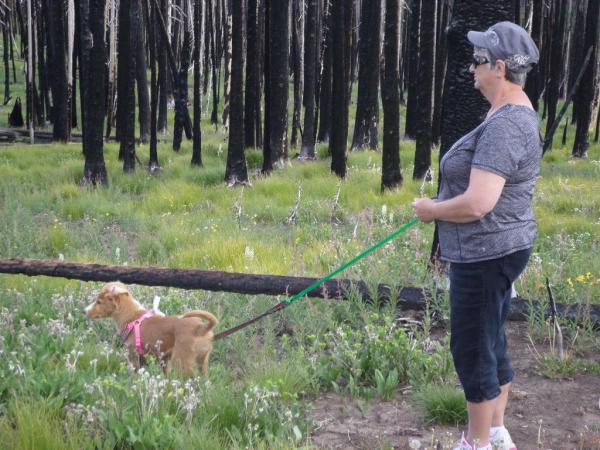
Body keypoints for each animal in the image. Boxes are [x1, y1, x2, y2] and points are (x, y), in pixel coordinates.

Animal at [83, 284, 217, 376]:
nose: (84, 311)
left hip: (182, 361)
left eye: (99, 302)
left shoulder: (133, 357)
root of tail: (201, 328)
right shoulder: (162, 359)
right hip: (203, 362)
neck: (131, 316)